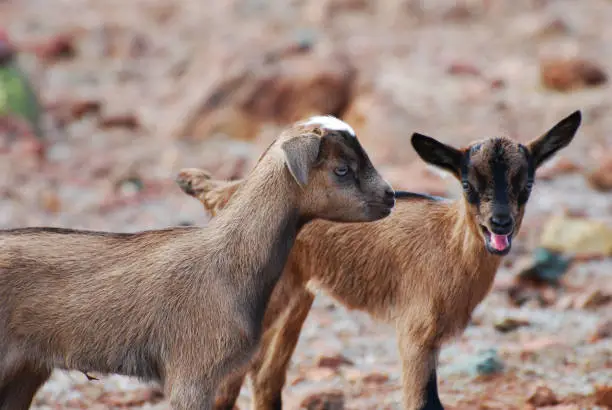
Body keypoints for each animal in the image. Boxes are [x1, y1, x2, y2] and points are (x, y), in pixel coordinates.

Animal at [177, 111, 584, 410]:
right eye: (468, 185)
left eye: (527, 184)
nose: (500, 223)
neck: (449, 248)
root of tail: (225, 192)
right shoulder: (415, 334)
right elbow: (424, 403)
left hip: (297, 296)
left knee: (265, 377)